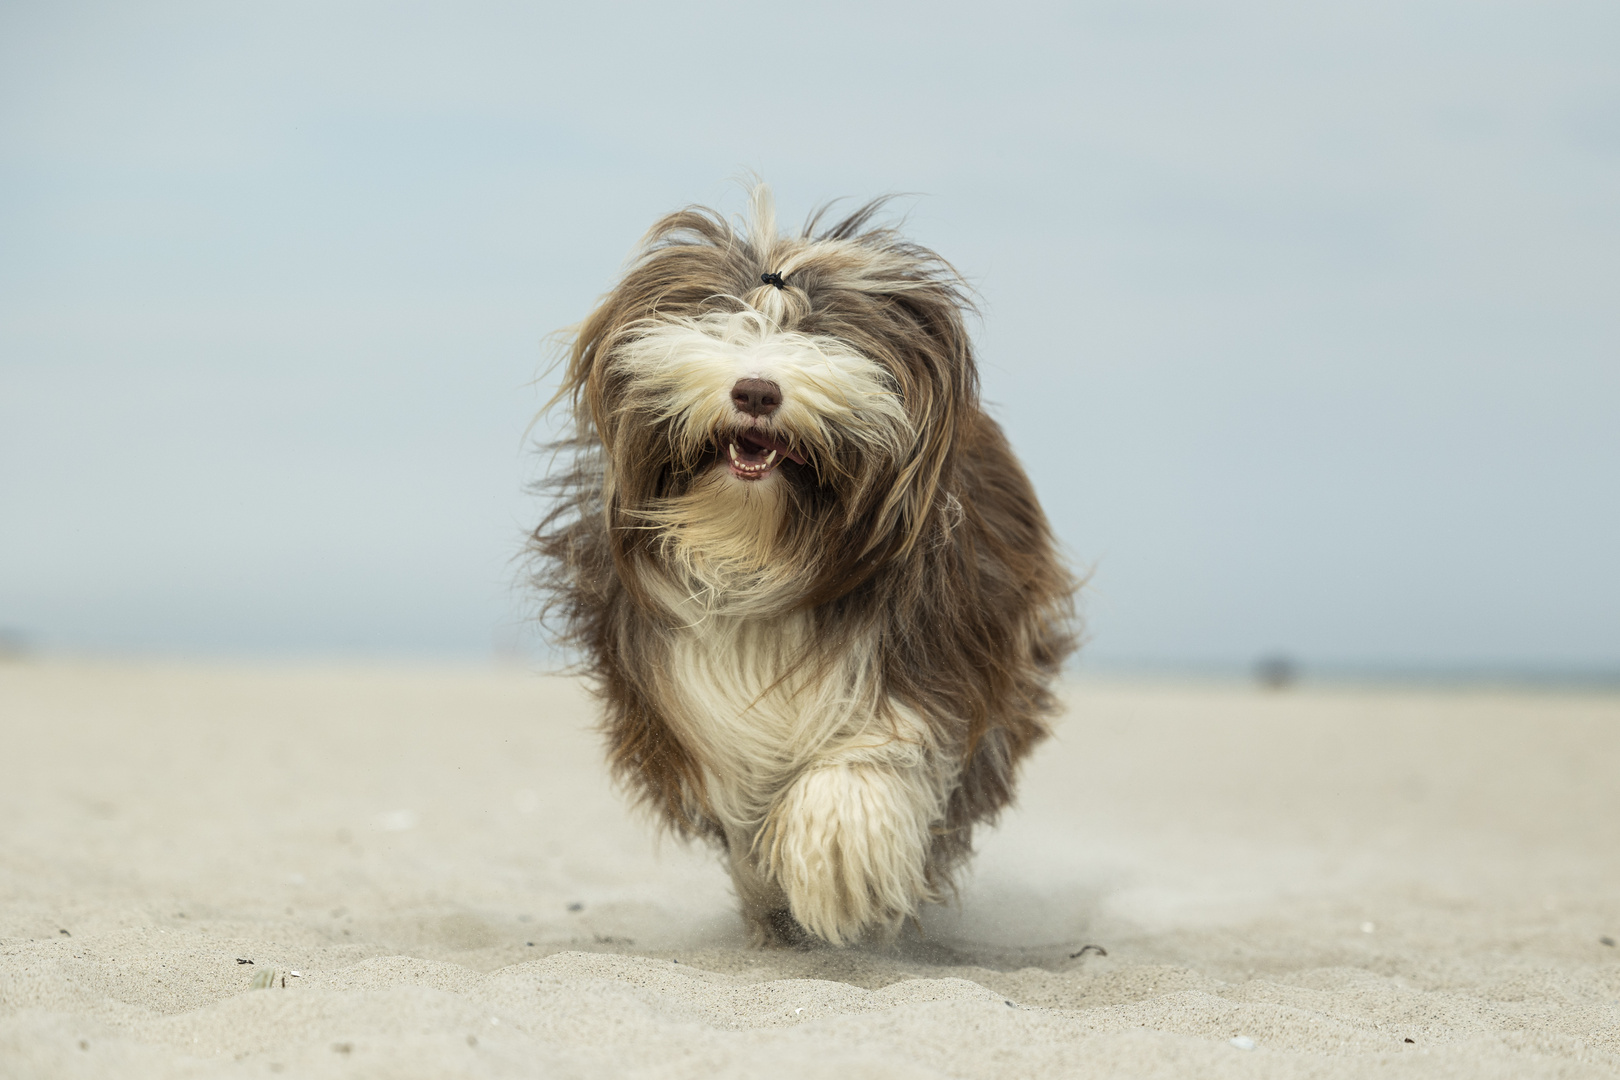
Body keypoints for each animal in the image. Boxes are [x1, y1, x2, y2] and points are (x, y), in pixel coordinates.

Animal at [534, 186, 1075, 945]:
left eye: (820, 334)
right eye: (722, 319)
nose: (757, 391)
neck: (756, 543)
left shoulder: (932, 647)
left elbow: (874, 749)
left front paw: (841, 860)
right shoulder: (686, 688)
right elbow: (740, 798)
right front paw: (773, 898)